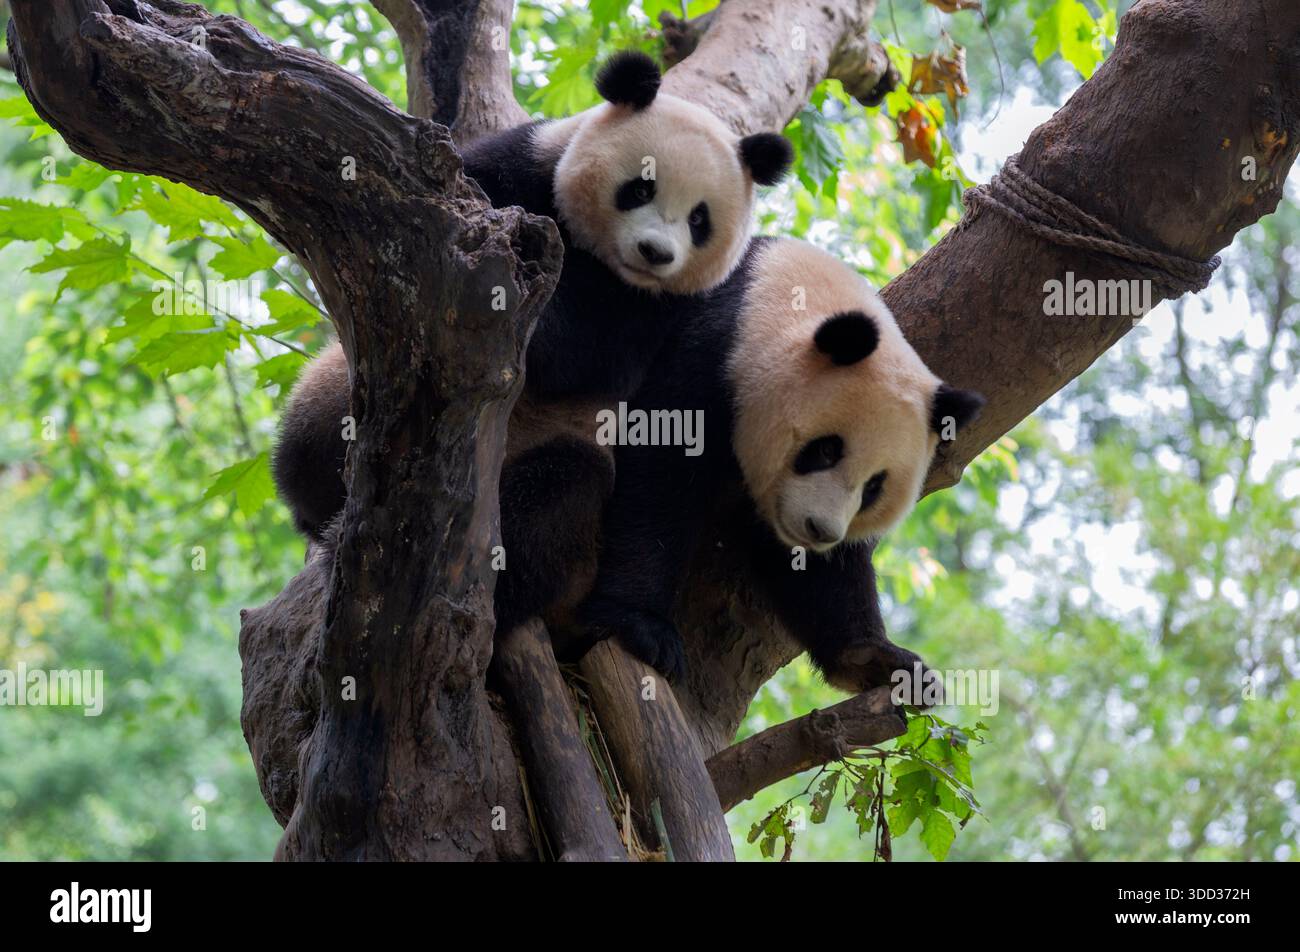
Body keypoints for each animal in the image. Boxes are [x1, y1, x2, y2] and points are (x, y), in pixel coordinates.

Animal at [272, 51, 792, 636]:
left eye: (700, 218)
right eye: (641, 187)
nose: (656, 252)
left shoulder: (667, 311)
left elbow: (589, 355)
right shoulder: (522, 165)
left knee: (561, 494)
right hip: (329, 394)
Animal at [578, 236, 985, 691]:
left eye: (873, 488)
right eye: (826, 450)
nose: (819, 530)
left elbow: (822, 572)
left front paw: (875, 658)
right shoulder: (707, 352)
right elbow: (659, 478)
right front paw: (642, 628)